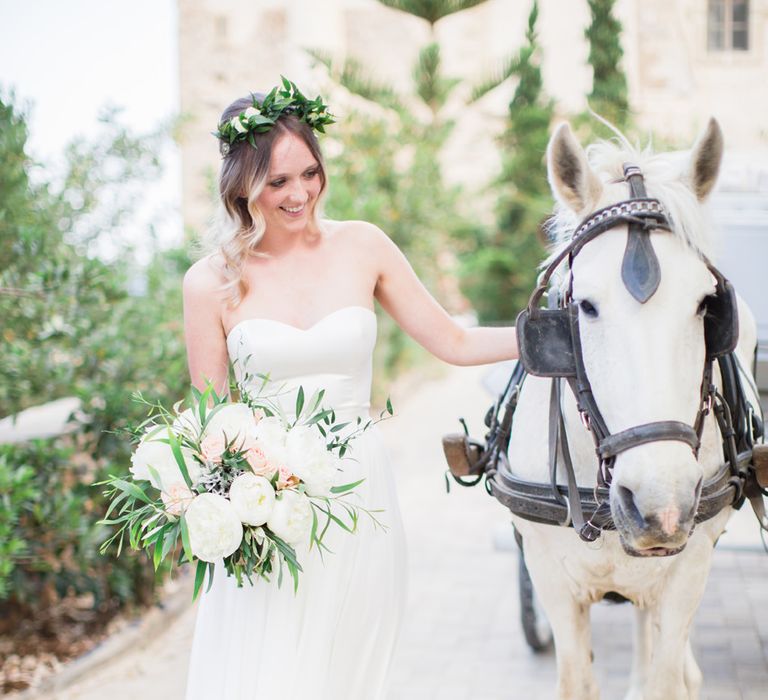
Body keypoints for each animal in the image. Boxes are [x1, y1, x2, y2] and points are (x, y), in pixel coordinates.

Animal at [510, 121, 760, 700]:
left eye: (707, 305)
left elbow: (664, 680)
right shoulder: (550, 577)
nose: (659, 504)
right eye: (584, 306)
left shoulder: (686, 570)